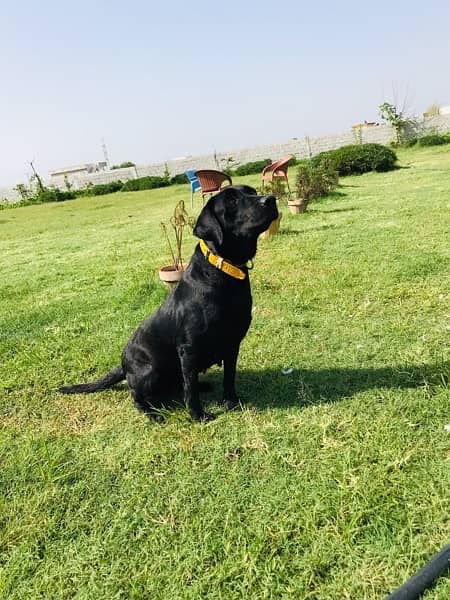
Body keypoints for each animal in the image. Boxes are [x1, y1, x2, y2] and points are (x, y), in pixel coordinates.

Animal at [59, 185, 278, 420]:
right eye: (232, 201)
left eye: (252, 191)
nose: (271, 199)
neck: (223, 269)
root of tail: (123, 364)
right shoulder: (189, 349)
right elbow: (190, 389)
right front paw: (198, 416)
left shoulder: (232, 342)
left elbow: (229, 377)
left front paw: (231, 402)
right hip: (150, 370)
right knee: (138, 396)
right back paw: (152, 414)